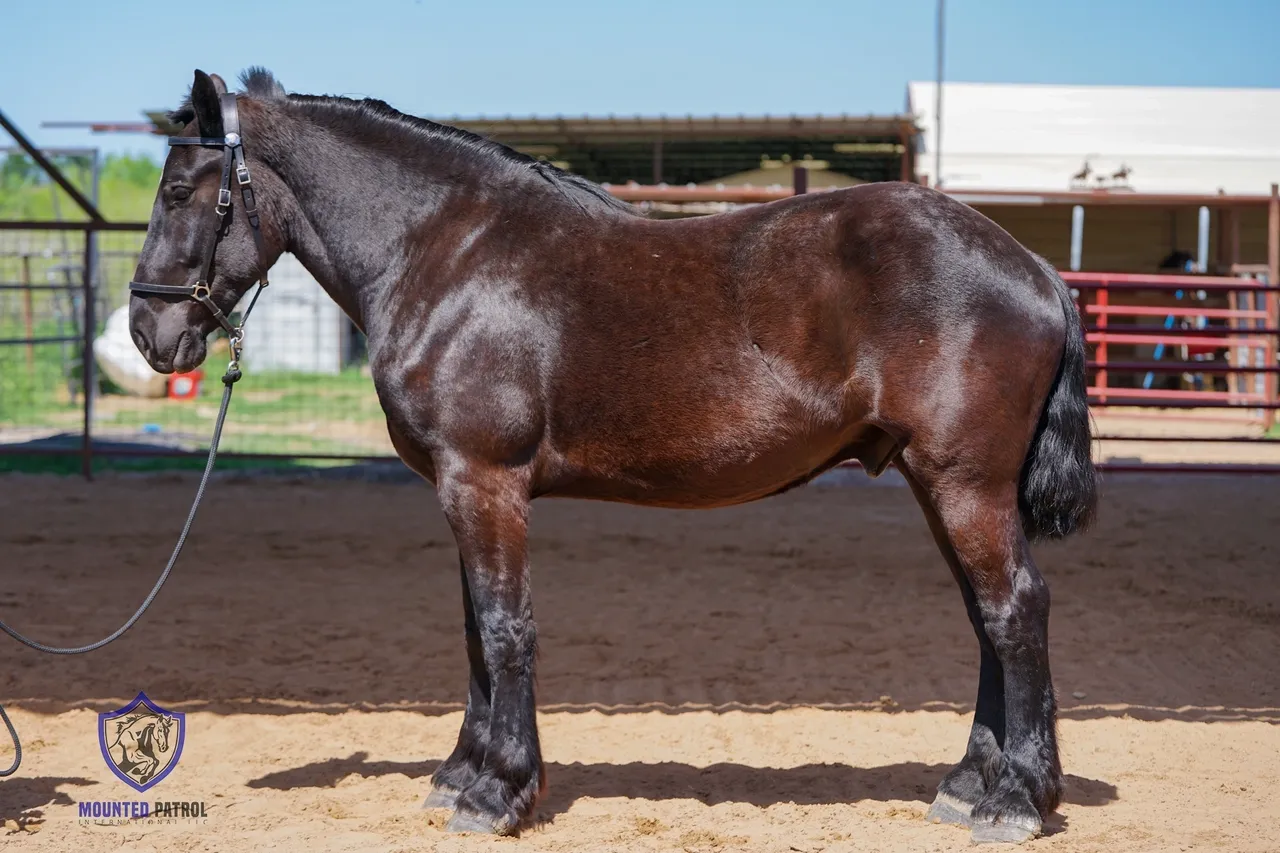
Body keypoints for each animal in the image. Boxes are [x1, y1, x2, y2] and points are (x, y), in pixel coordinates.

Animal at [127, 68, 1097, 843]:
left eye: (178, 188)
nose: (148, 331)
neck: (447, 251)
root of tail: (1035, 269)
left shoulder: (485, 482)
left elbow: (506, 627)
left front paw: (498, 794)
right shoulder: (460, 489)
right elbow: (475, 629)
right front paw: (462, 774)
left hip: (965, 485)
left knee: (1015, 610)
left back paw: (1015, 800)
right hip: (939, 484)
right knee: (985, 618)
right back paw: (967, 785)